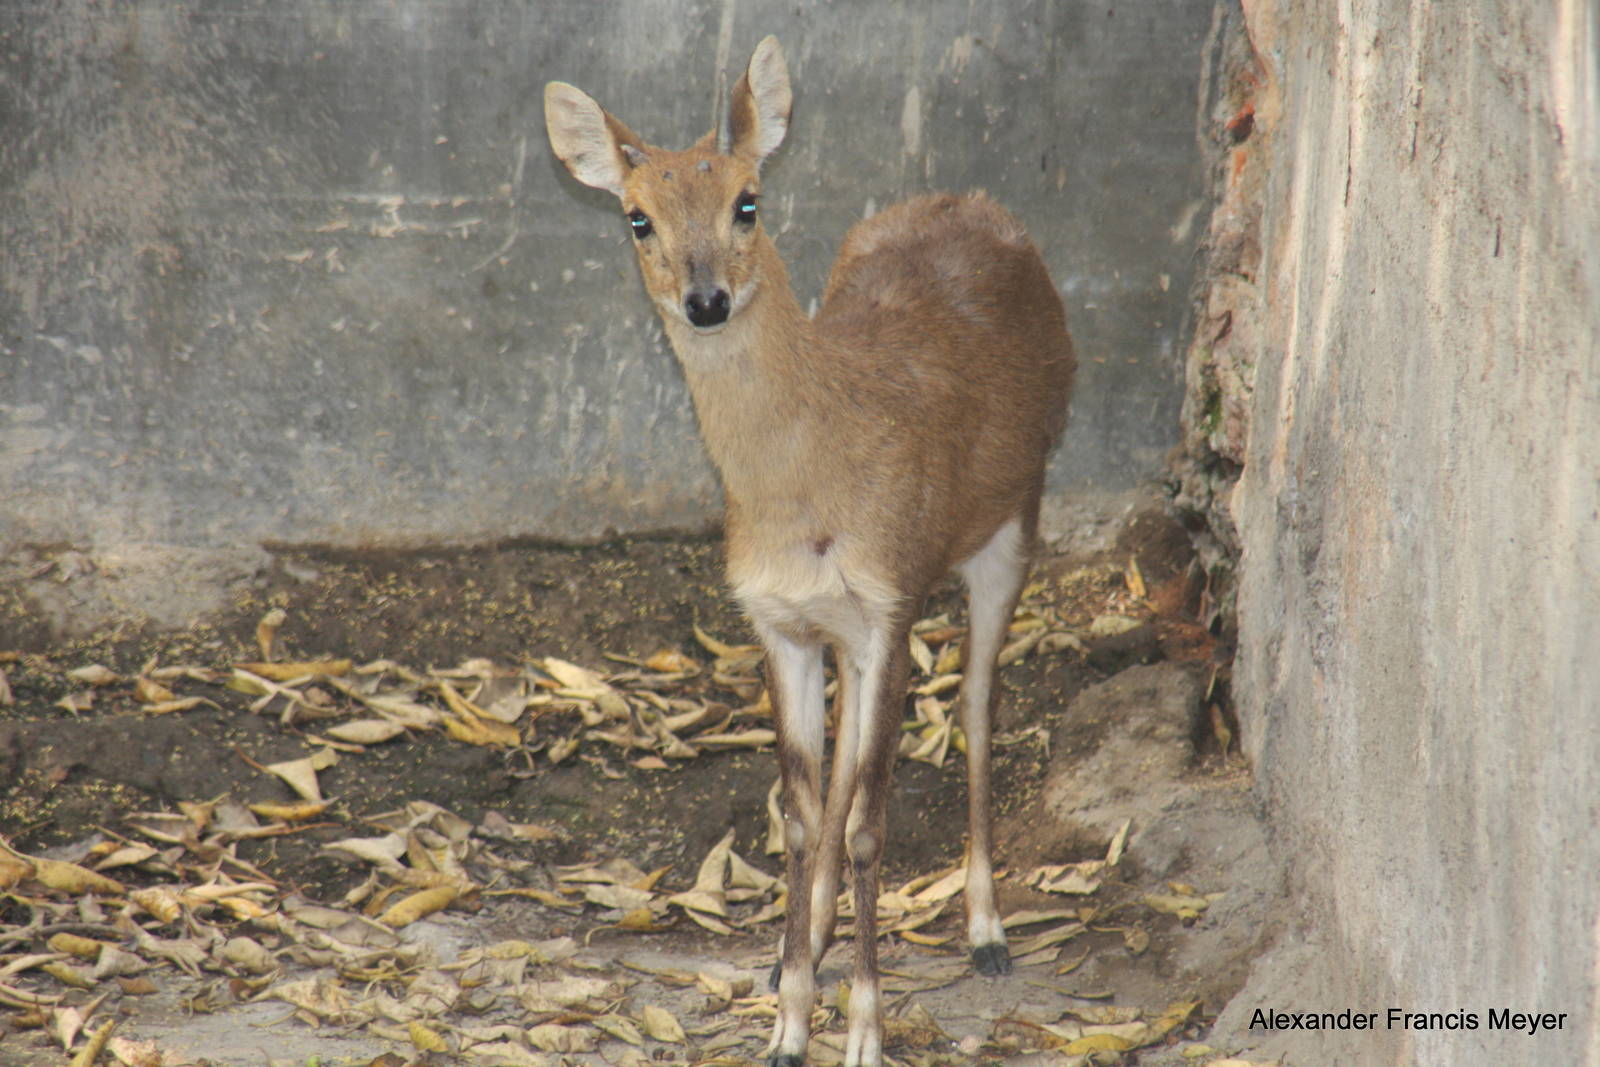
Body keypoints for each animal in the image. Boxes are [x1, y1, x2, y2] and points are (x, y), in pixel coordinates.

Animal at [545, 36, 1074, 1067]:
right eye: (638, 218)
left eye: (748, 201)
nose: (706, 299)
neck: (806, 489)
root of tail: (975, 202)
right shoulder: (782, 620)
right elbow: (798, 812)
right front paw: (789, 1018)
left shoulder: (889, 599)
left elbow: (868, 821)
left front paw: (864, 1029)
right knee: (846, 768)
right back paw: (815, 943)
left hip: (1012, 514)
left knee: (979, 704)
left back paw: (987, 930)